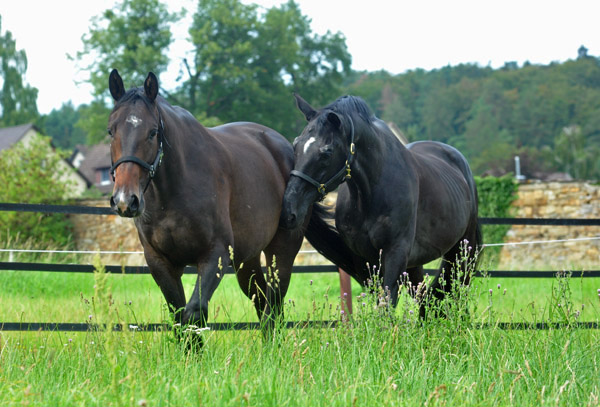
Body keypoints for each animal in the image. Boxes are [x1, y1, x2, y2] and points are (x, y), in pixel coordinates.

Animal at [108, 71, 332, 342]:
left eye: (152, 132)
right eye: (110, 131)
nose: (125, 200)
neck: (172, 194)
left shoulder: (215, 255)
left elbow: (194, 314)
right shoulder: (160, 262)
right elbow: (179, 319)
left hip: (282, 252)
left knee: (274, 307)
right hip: (247, 260)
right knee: (262, 301)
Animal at [282, 95, 482, 312]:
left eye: (326, 153)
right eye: (295, 145)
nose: (289, 209)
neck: (371, 194)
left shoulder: (395, 255)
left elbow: (386, 306)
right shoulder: (363, 259)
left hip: (462, 251)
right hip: (416, 265)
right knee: (423, 298)